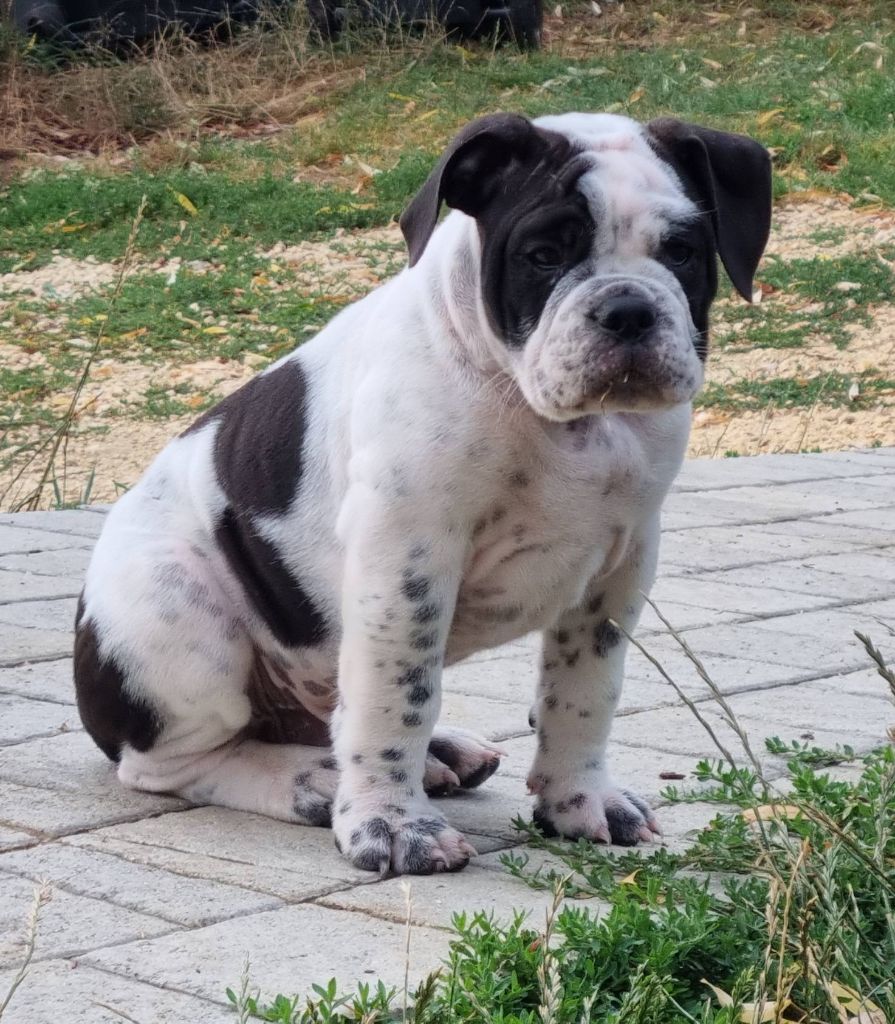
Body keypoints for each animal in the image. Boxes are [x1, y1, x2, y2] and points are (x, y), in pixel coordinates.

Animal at [74, 111, 771, 875]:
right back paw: (310, 782)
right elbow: (397, 698)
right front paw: (393, 825)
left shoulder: (617, 574)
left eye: (682, 251)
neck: (552, 416)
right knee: (178, 761)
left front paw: (579, 802)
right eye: (542, 254)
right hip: (178, 617)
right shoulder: (405, 561)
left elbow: (584, 694)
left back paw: (439, 756)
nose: (626, 308)